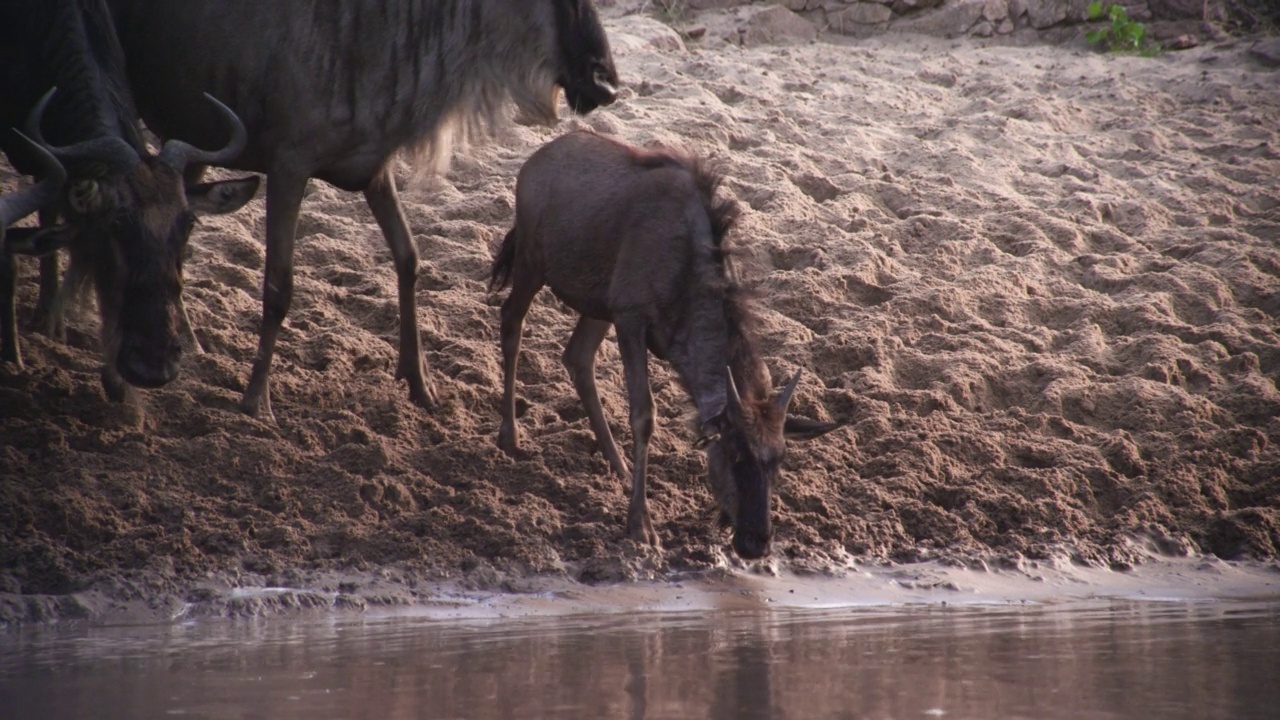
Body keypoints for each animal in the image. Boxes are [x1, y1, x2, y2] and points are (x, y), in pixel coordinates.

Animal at [488, 131, 839, 558]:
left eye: (779, 461)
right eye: (734, 452)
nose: (756, 542)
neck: (688, 274)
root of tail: (535, 160)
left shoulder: (619, 309)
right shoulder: (631, 316)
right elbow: (644, 414)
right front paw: (641, 526)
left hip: (597, 304)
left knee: (577, 357)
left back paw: (619, 467)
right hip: (531, 263)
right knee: (512, 322)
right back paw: (510, 436)